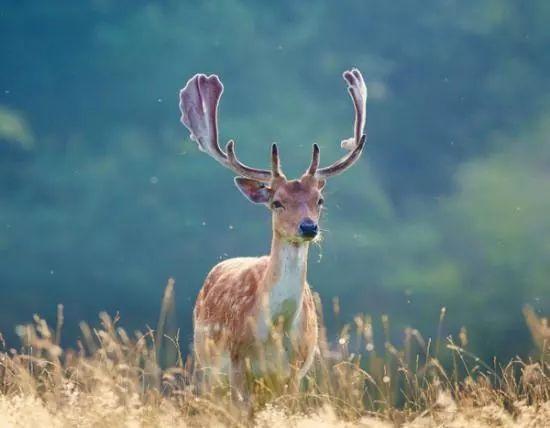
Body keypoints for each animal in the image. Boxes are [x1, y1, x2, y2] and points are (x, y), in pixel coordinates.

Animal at [181, 67, 368, 398]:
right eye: (277, 201)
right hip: (207, 367)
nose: (308, 226)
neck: (275, 331)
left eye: (319, 200)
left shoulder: (294, 373)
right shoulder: (237, 365)